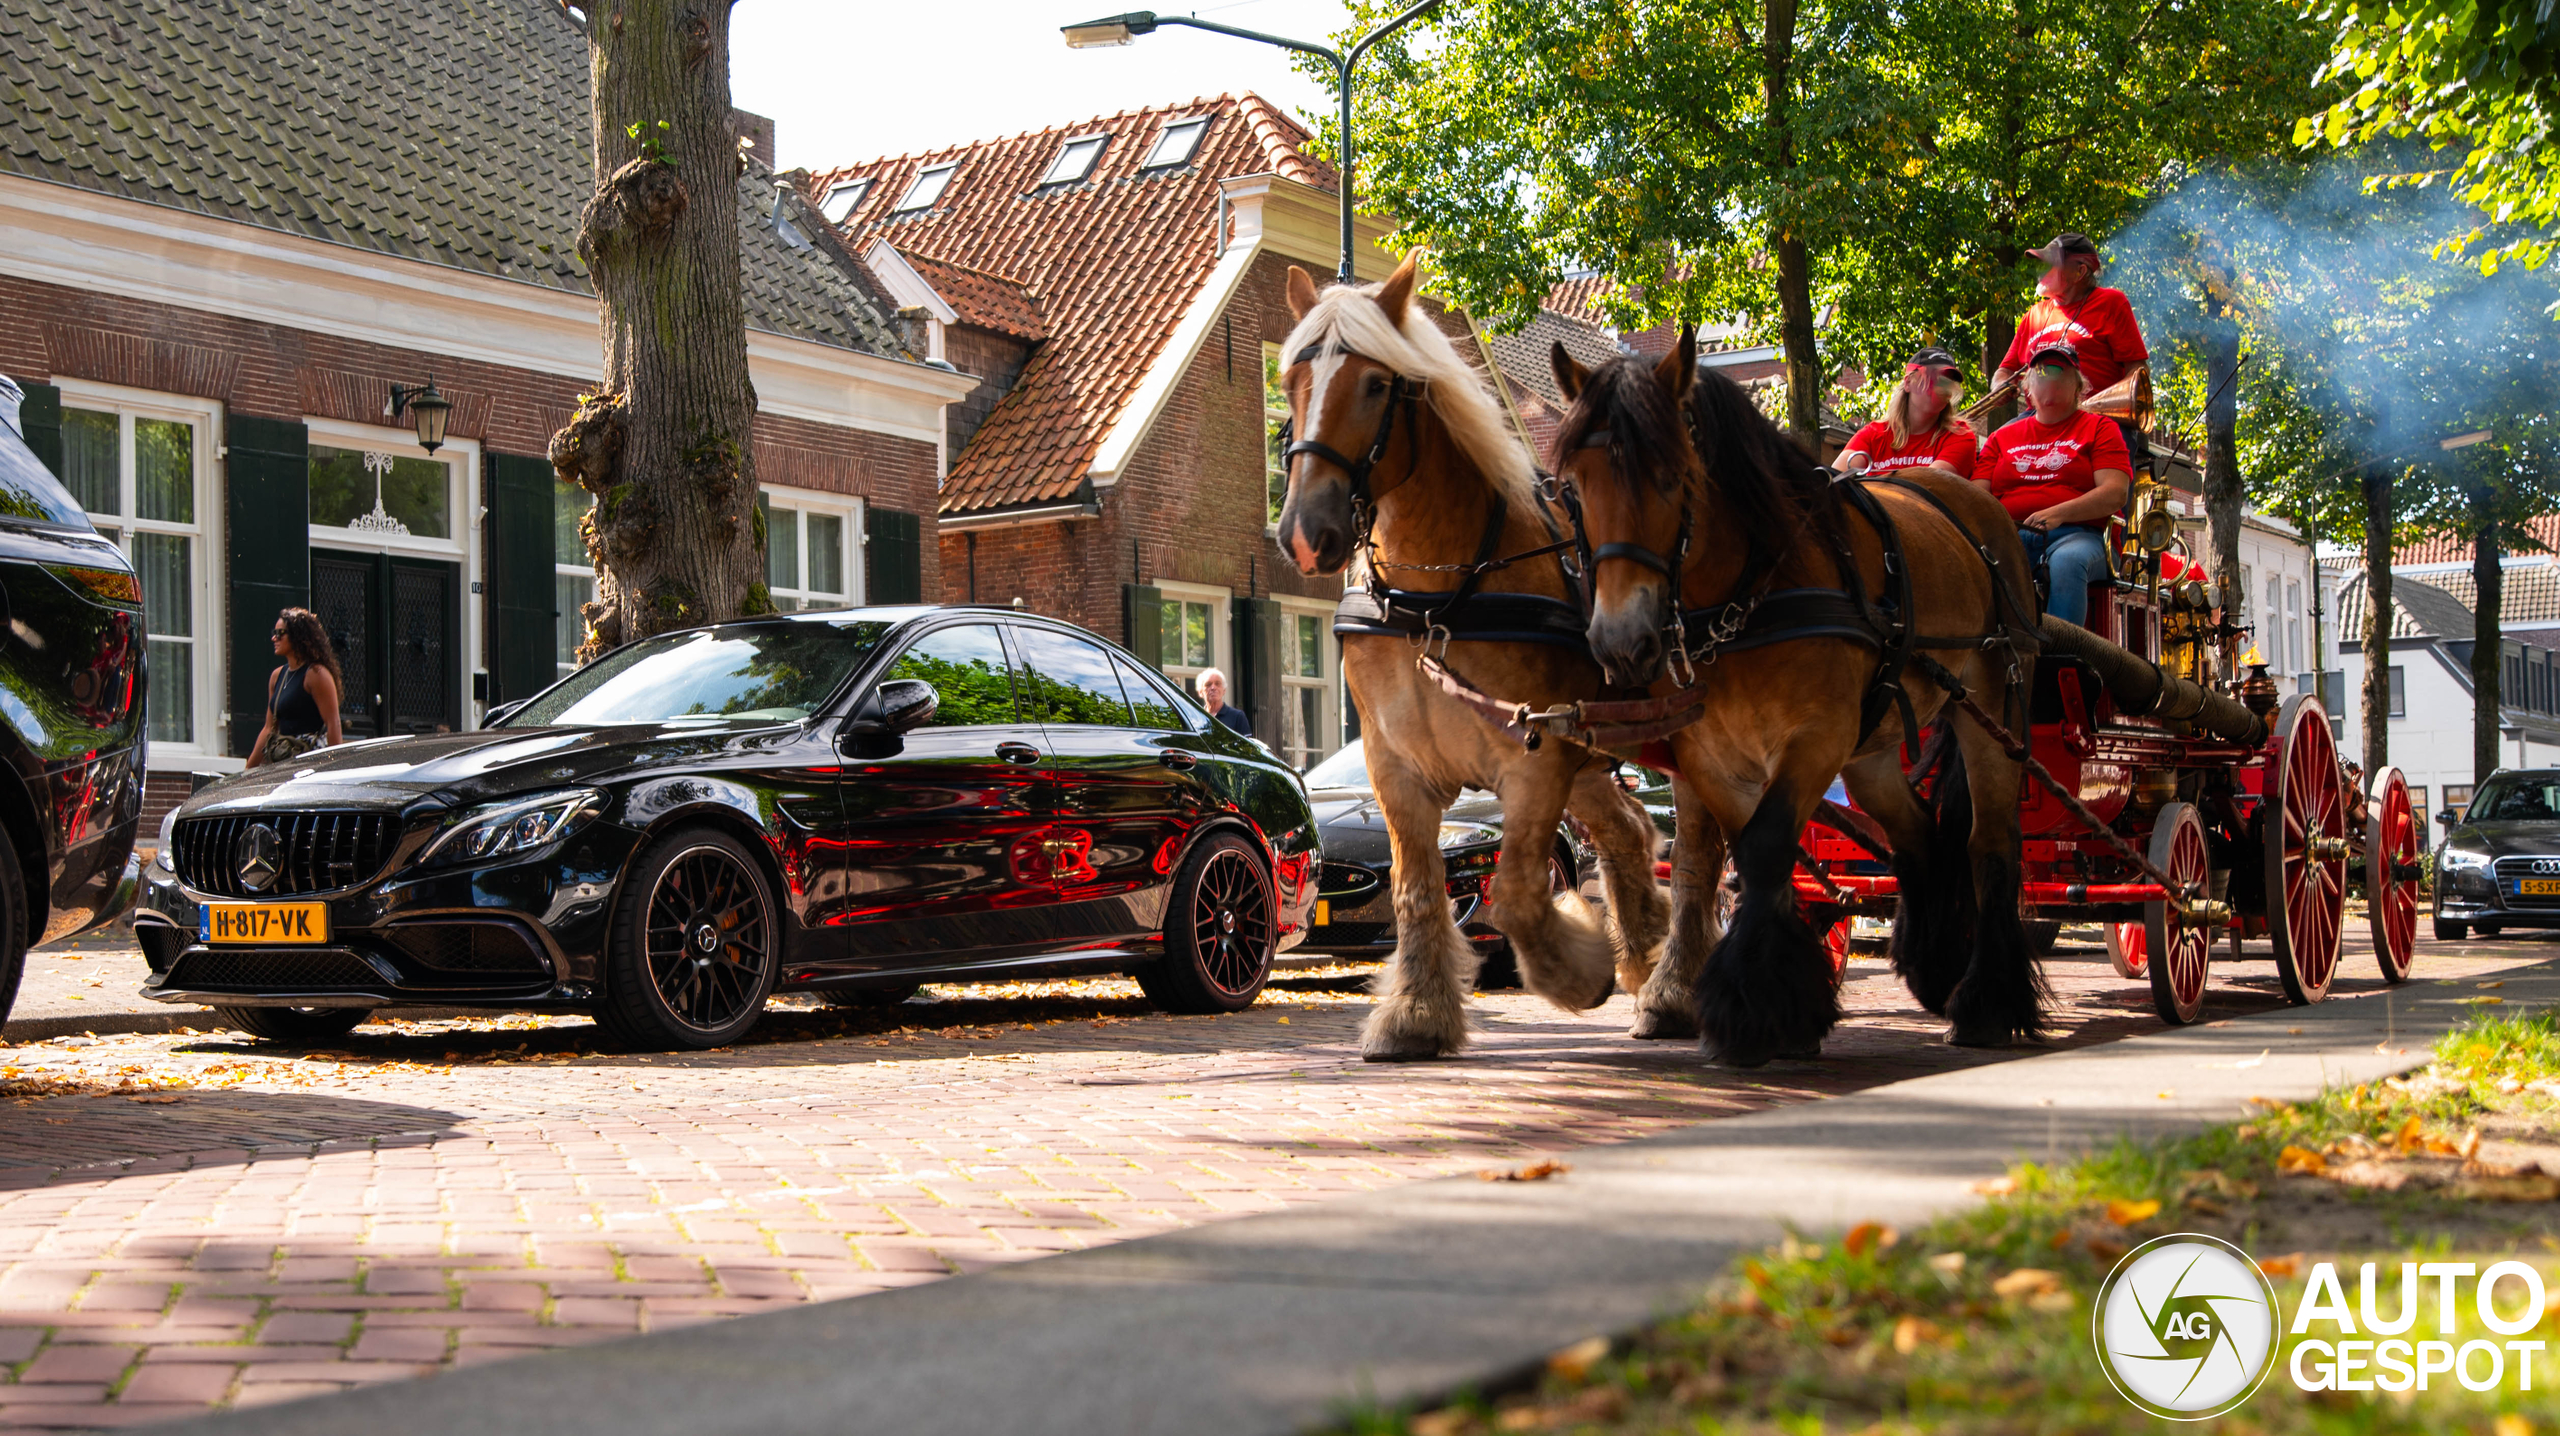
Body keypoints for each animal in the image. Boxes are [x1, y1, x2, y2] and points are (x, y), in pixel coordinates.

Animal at [1269, 257, 1669, 1059]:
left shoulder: (1534, 757)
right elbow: (1416, 890)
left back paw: (1674, 981)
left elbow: (1512, 895)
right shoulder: (1397, 766)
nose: (1303, 533)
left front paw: (1579, 968)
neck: (1437, 597)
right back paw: (1648, 956)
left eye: (1376, 384)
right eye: (1292, 380)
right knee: (1632, 833)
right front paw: (1416, 1015)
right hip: (1592, 758)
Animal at [1546, 332, 2048, 1054]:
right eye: (1573, 488)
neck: (1746, 595)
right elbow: (1757, 857)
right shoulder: (1712, 753)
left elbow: (1763, 848)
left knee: (1991, 843)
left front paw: (1750, 1008)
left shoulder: (1815, 738)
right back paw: (1934, 966)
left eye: (1674, 477)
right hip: (1874, 750)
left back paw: (1987, 1002)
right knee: (1919, 835)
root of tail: (1981, 510)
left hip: (1992, 706)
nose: (1620, 641)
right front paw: (1787, 1002)